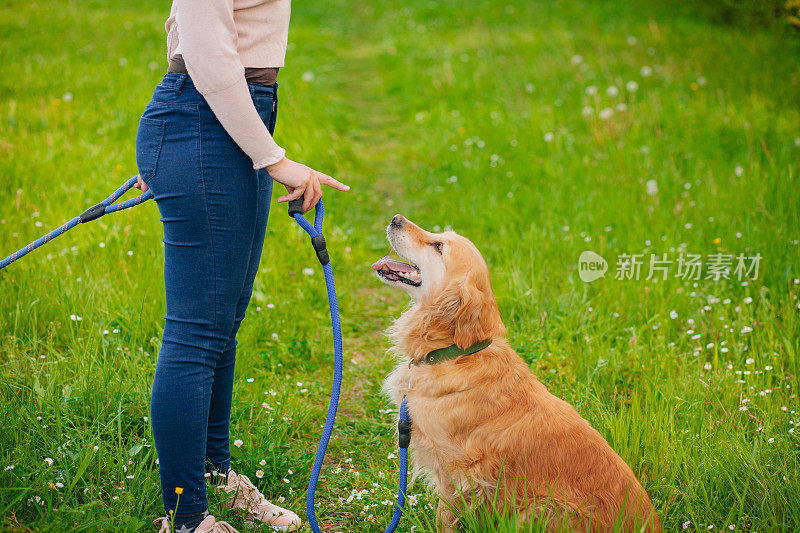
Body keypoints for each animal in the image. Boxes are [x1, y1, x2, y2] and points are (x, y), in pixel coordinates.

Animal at [372, 214, 660, 528]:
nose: (396, 219)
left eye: (438, 246)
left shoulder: (455, 468)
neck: (456, 352)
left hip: (543, 508)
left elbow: (443, 515)